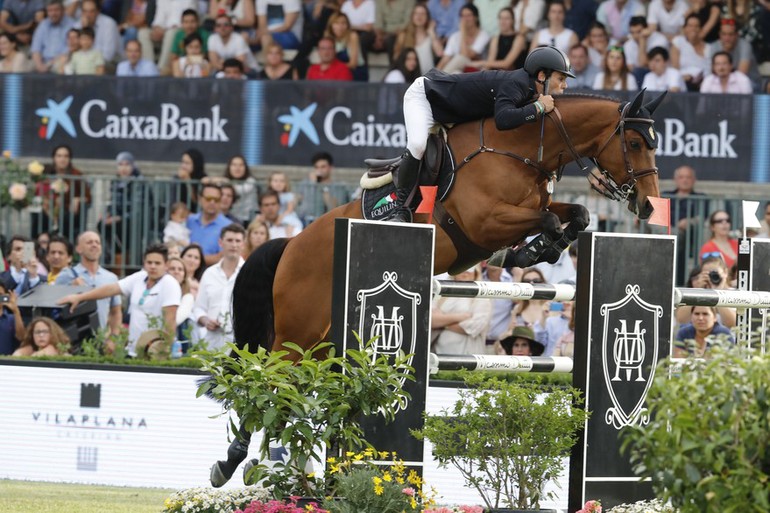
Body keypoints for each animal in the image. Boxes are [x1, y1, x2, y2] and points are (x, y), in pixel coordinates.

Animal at [212, 88, 664, 484]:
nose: (648, 206)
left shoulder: (529, 209)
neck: (521, 149)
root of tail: (291, 244)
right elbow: (550, 219)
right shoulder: (487, 220)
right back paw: (232, 462)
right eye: (635, 142)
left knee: (291, 387)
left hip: (321, 342)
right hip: (297, 331)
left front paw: (535, 253)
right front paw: (534, 249)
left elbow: (577, 214)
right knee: (268, 378)